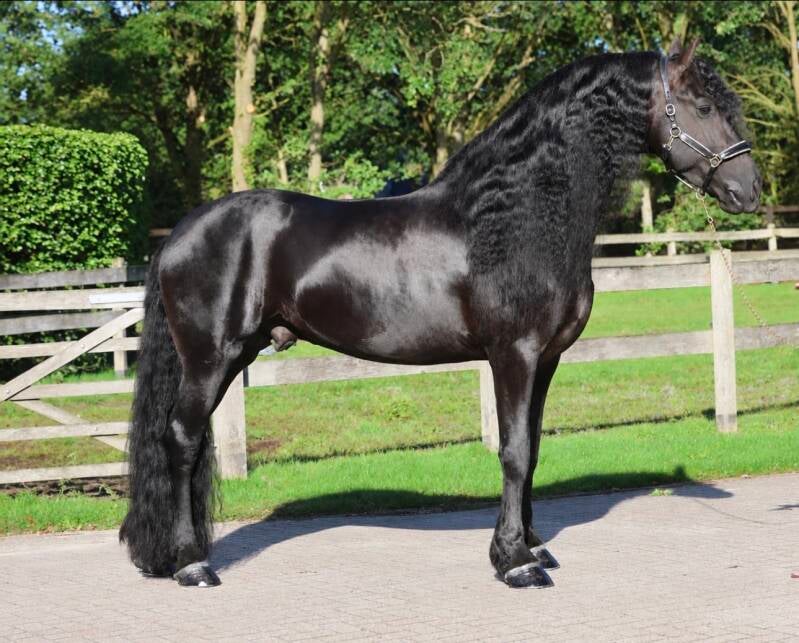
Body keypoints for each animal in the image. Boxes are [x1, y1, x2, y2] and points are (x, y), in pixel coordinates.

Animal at [120, 39, 760, 589]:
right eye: (704, 106)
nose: (749, 190)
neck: (519, 215)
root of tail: (180, 233)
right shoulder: (514, 355)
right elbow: (513, 451)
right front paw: (514, 562)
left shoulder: (546, 360)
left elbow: (532, 448)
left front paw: (533, 545)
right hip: (211, 358)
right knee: (182, 440)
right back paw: (190, 564)